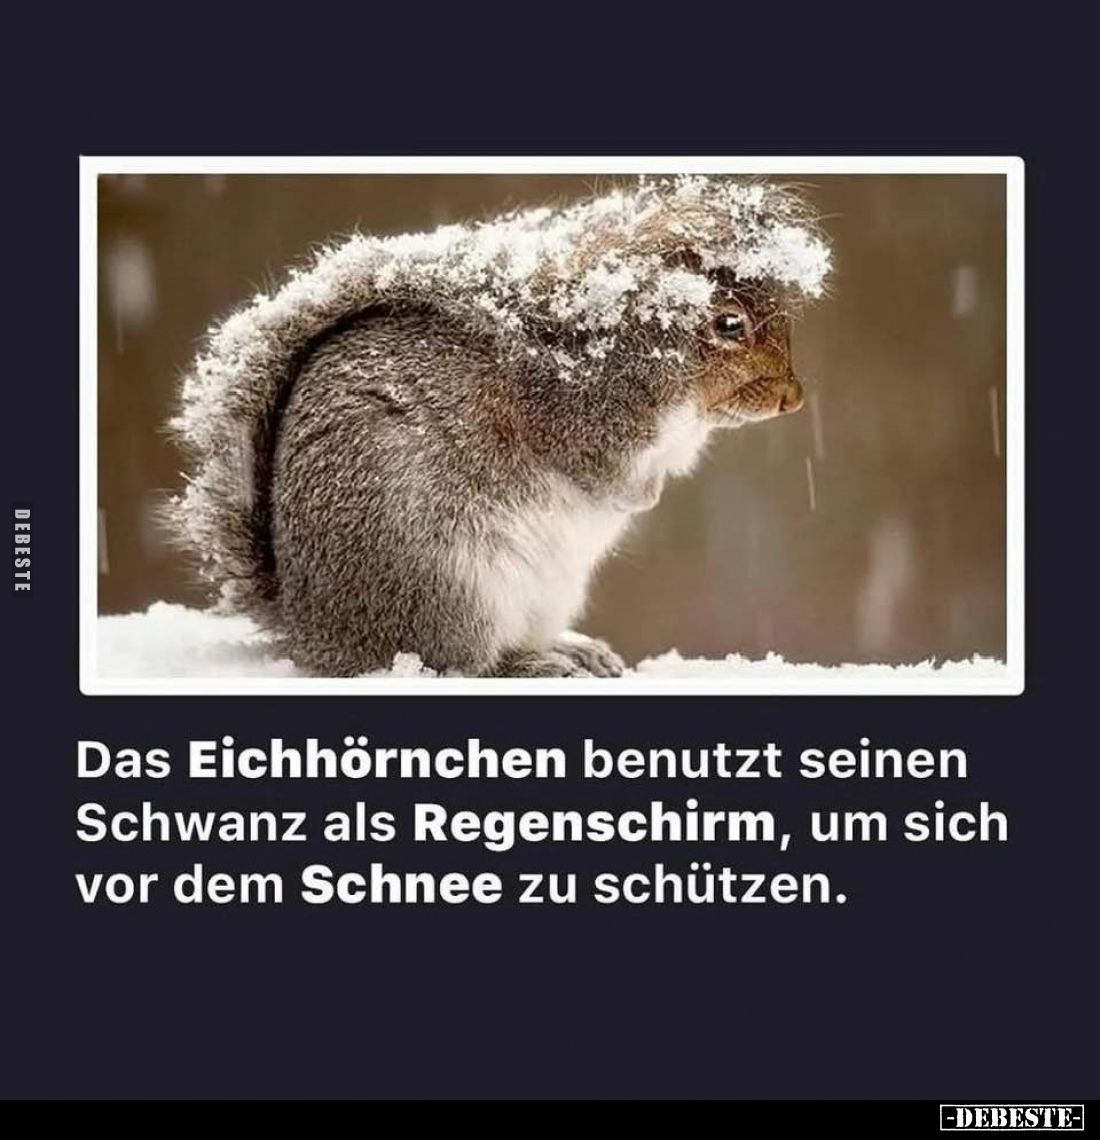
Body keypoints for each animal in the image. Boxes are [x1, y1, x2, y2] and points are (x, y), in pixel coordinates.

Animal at [167, 176, 831, 677]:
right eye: (728, 324)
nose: (794, 399)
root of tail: (317, 631)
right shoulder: (575, 418)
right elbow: (598, 471)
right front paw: (638, 497)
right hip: (450, 587)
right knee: (464, 661)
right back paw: (532, 665)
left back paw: (571, 650)